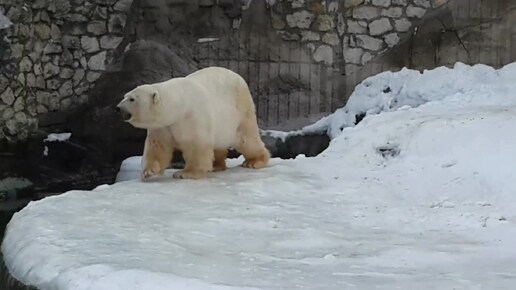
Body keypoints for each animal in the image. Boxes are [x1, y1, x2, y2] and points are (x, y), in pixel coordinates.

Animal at [116, 66, 270, 179]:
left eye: (132, 99)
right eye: (125, 96)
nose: (118, 108)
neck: (179, 105)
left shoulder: (192, 116)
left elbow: (196, 144)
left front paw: (184, 173)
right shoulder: (163, 125)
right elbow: (157, 145)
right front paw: (148, 171)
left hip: (241, 112)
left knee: (246, 140)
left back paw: (254, 161)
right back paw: (216, 165)